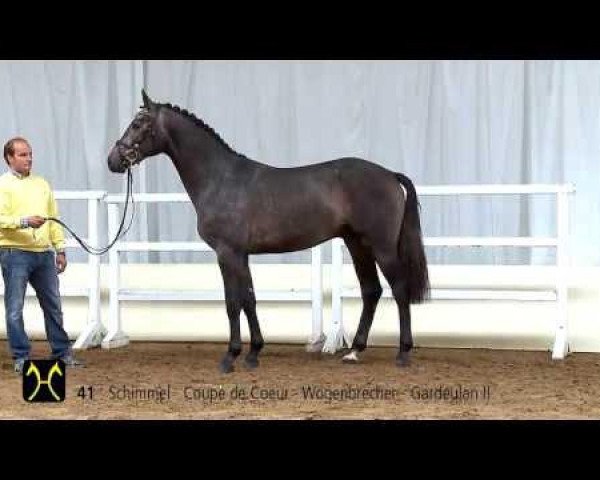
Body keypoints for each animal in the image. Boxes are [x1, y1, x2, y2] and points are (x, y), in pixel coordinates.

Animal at [106, 91, 426, 376]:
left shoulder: (227, 253)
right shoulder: (242, 255)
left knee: (399, 289)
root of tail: (389, 175)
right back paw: (354, 351)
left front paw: (230, 357)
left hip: (382, 247)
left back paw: (402, 353)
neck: (220, 179)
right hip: (357, 244)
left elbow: (232, 302)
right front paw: (253, 354)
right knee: (371, 290)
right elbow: (249, 299)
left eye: (138, 123)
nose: (113, 160)